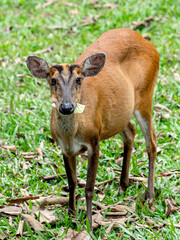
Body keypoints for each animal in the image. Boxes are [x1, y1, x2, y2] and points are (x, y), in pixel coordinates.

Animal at [25, 27, 159, 231]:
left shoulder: (94, 141)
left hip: (145, 95)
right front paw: (71, 216)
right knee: (130, 131)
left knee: (151, 142)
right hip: (119, 113)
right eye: (52, 81)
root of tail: (148, 43)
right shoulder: (65, 148)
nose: (66, 107)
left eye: (79, 80)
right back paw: (122, 186)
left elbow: (89, 187)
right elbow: (72, 182)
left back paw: (150, 196)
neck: (71, 135)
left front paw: (88, 223)